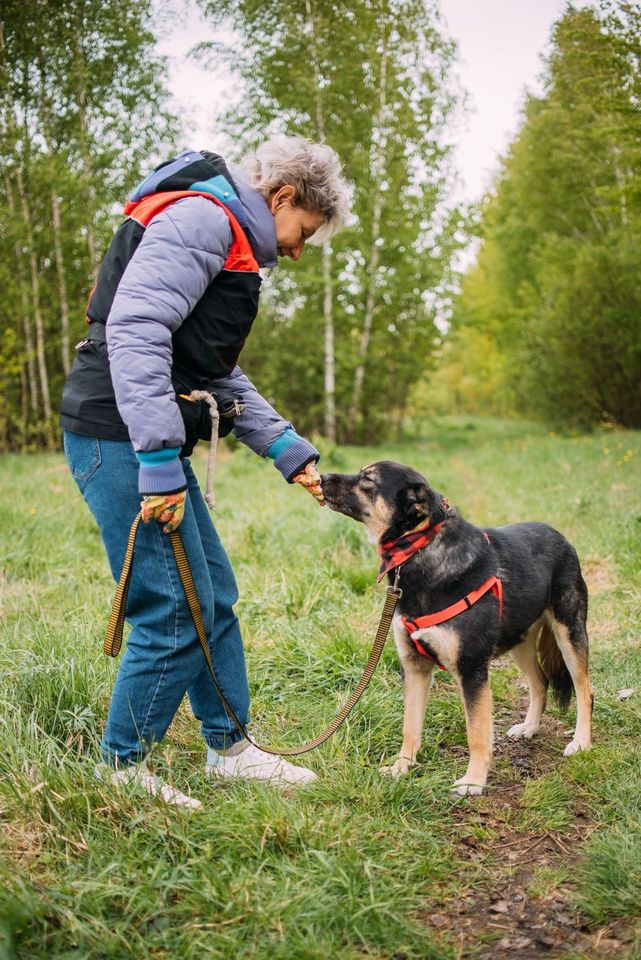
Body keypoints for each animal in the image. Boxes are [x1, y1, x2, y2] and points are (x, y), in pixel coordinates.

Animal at [322, 460, 592, 796]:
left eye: (368, 480)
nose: (321, 475)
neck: (420, 547)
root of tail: (561, 537)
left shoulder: (471, 670)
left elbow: (476, 733)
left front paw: (473, 781)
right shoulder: (414, 667)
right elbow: (410, 727)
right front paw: (401, 768)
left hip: (569, 633)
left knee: (584, 690)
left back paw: (581, 743)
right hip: (520, 641)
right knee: (540, 682)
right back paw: (529, 727)